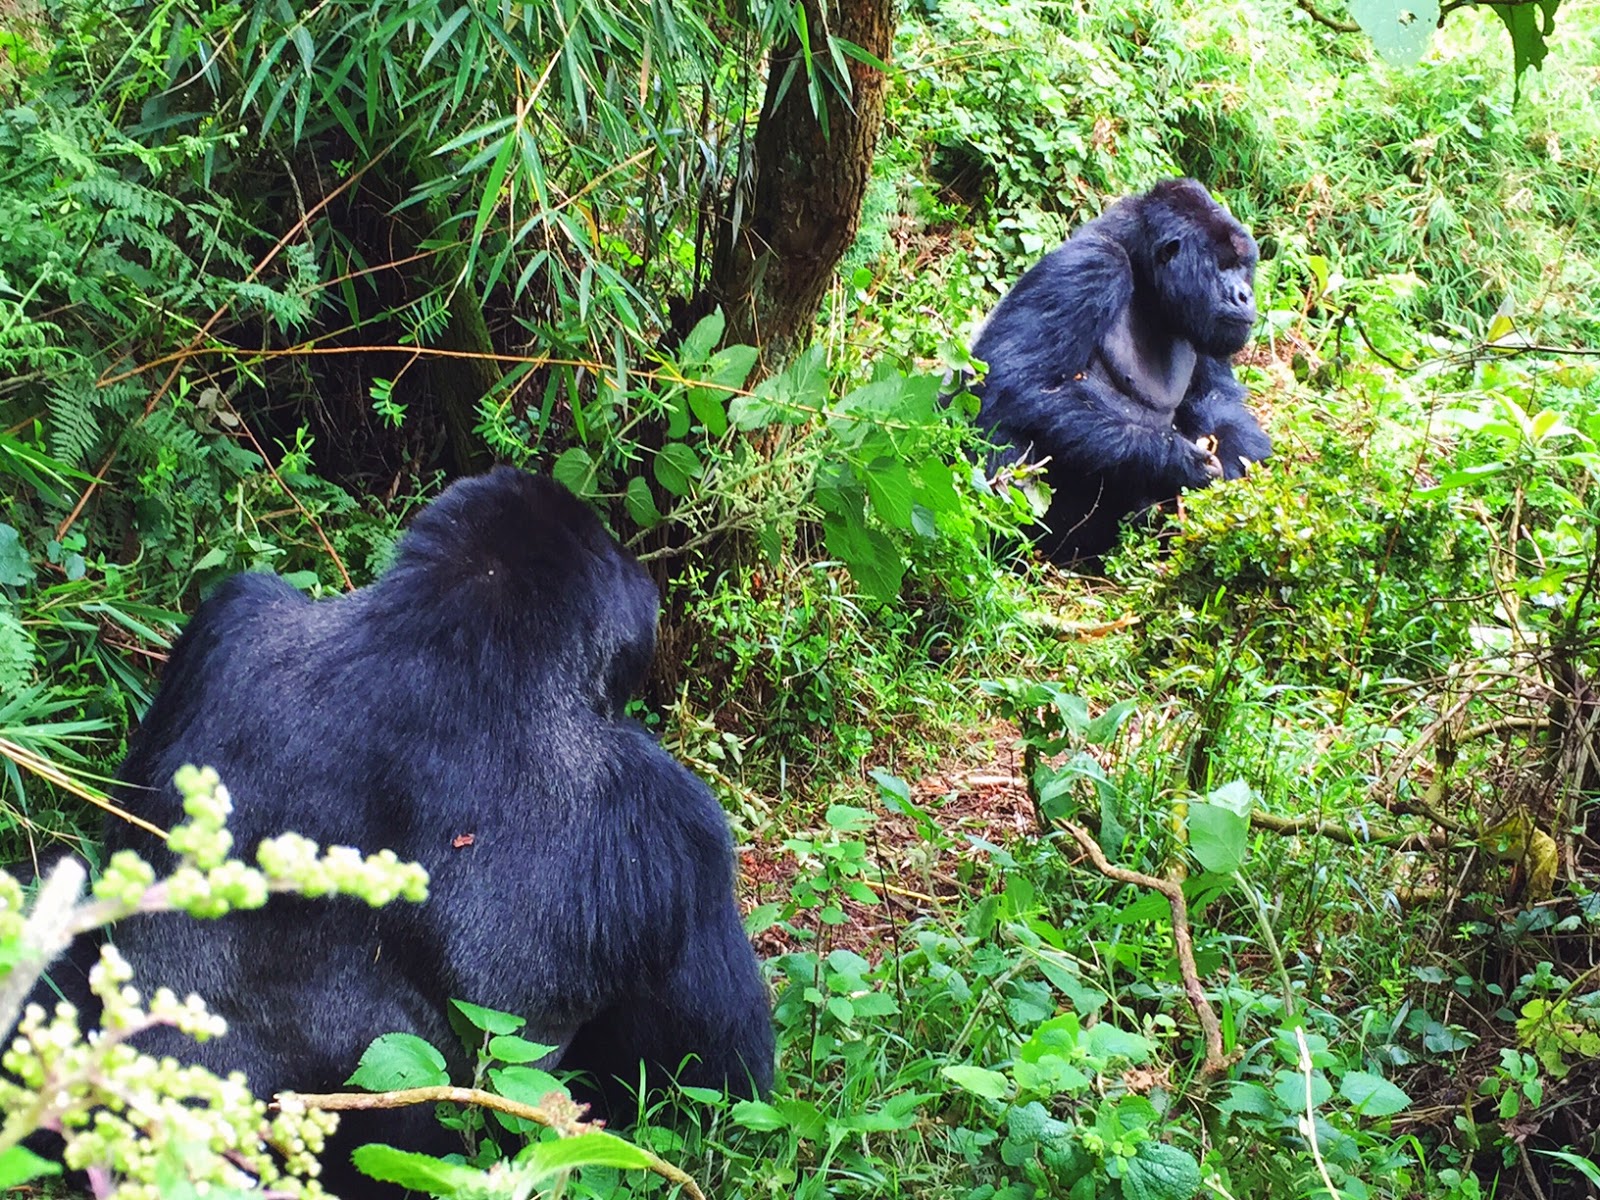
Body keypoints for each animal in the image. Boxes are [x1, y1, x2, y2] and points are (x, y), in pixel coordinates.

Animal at [966, 178, 1267, 569]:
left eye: (1241, 266)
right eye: (1222, 266)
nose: (1244, 295)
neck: (1144, 272)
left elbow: (1220, 401)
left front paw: (1229, 470)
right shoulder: (1091, 265)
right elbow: (1012, 381)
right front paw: (1175, 460)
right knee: (1003, 422)